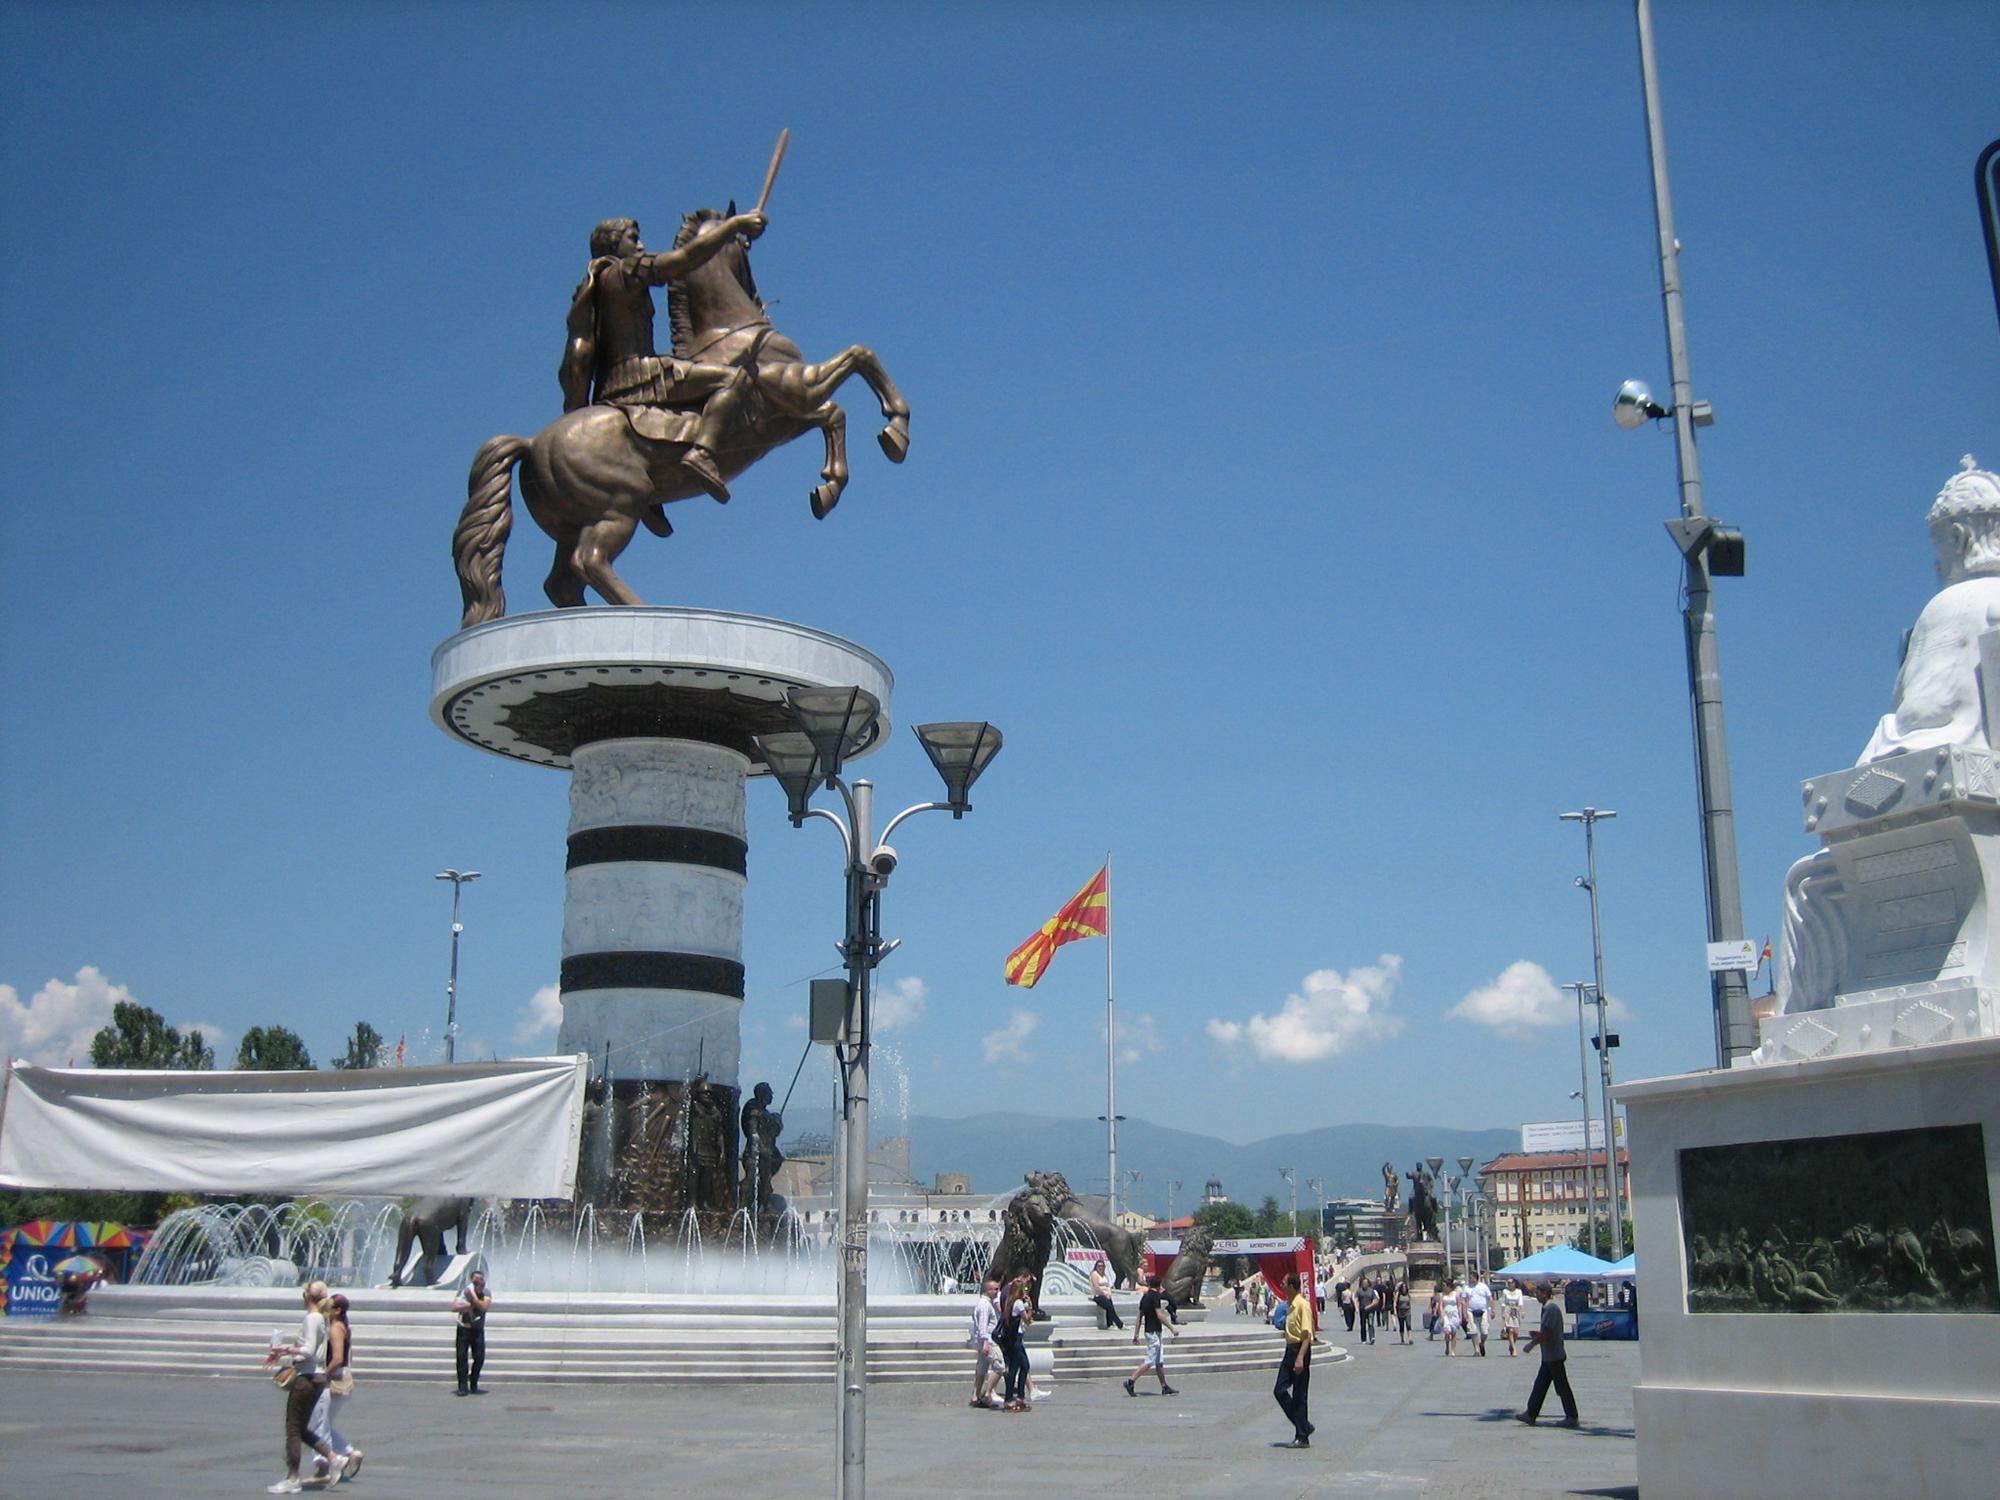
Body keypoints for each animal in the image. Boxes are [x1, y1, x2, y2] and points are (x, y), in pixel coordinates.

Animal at [452, 209, 908, 624]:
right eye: (743, 248)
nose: (760, 295)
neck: (734, 333)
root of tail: (531, 446)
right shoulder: (796, 390)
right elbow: (857, 363)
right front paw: (892, 435)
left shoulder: (789, 418)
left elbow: (834, 411)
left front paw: (830, 485)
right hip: (620, 503)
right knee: (590, 560)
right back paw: (639, 607)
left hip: (572, 521)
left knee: (561, 582)